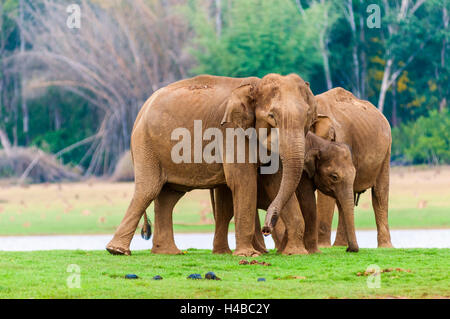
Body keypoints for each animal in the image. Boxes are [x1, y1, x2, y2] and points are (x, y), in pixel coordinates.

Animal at [106, 73, 318, 258]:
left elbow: (276, 181)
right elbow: (243, 181)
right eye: (272, 116)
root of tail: (141, 110)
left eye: (308, 115)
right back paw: (117, 251)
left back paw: (167, 252)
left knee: (168, 196)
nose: (267, 228)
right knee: (148, 190)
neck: (255, 85)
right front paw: (248, 255)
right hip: (146, 144)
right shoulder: (231, 131)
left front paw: (296, 253)